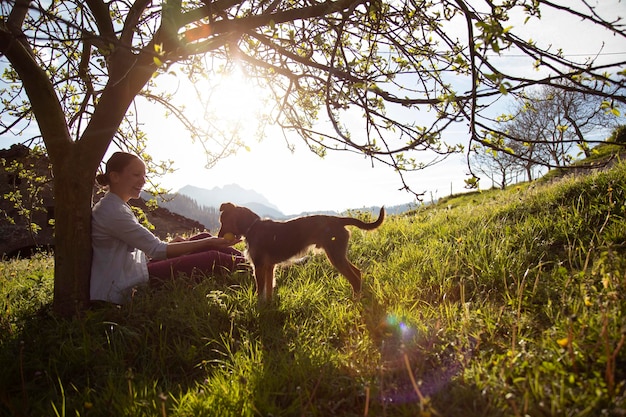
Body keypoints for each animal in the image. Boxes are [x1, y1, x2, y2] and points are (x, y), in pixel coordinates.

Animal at [219, 201, 386, 300]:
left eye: (223, 221)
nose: (219, 236)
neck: (252, 226)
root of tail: (339, 220)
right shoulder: (269, 267)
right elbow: (269, 289)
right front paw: (268, 307)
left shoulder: (259, 266)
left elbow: (261, 292)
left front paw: (259, 308)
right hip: (338, 255)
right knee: (357, 272)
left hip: (335, 255)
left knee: (354, 278)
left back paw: (355, 301)